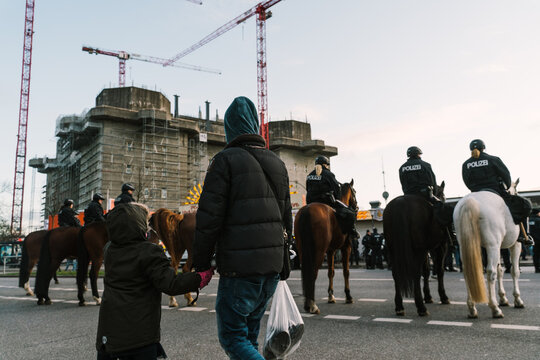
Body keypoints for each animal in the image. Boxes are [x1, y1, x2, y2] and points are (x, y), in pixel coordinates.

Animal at [294, 180, 356, 316]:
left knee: (306, 273)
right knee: (313, 273)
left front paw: (331, 296)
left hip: (302, 251)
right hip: (318, 251)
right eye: (354, 192)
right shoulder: (346, 248)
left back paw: (308, 303)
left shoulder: (331, 251)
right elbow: (346, 271)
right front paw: (348, 296)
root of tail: (306, 210)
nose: (356, 207)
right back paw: (312, 305)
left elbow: (330, 272)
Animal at [454, 180, 524, 318]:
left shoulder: (496, 248)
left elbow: (500, 271)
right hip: (493, 246)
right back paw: (495, 308)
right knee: (491, 273)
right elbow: (514, 271)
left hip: (467, 246)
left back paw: (472, 308)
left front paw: (503, 298)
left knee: (468, 271)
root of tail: (469, 201)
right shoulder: (515, 245)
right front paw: (517, 299)